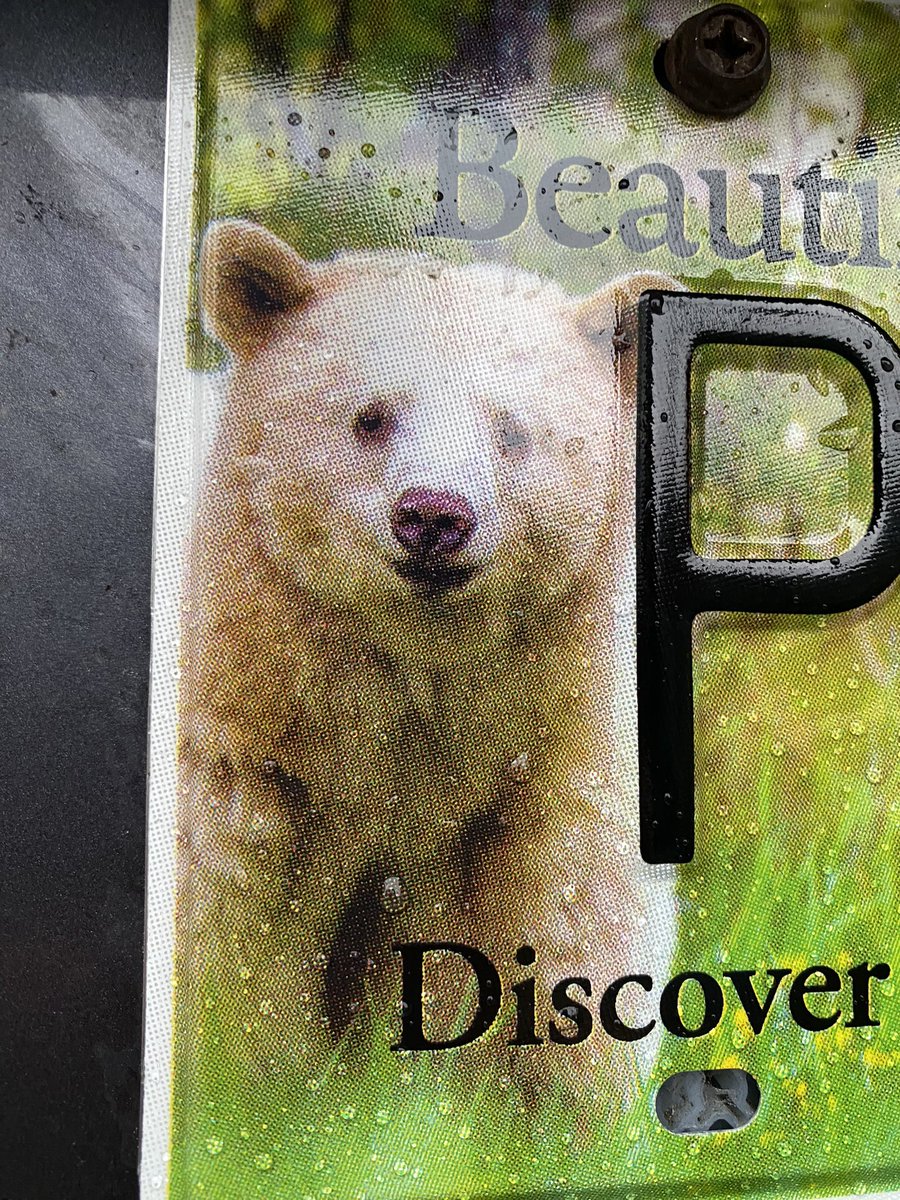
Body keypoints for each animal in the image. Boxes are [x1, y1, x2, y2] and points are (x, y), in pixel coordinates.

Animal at [175, 217, 675, 1116]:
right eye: (371, 416)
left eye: (514, 430)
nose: (434, 516)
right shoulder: (242, 761)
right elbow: (228, 922)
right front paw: (252, 1099)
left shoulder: (536, 764)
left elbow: (564, 914)